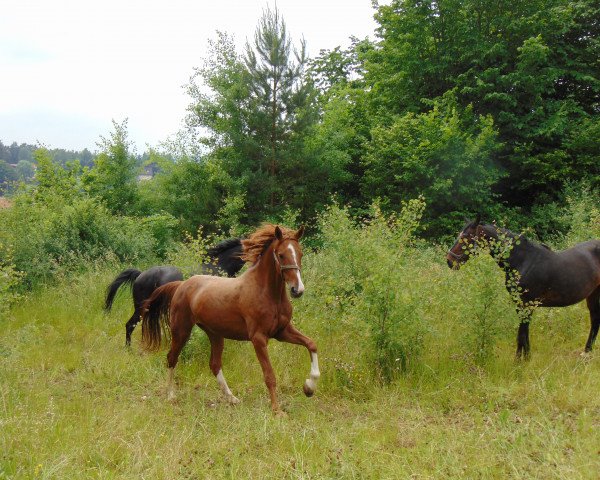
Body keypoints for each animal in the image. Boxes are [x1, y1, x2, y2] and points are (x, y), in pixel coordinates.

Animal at [141, 225, 318, 412]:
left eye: (300, 253)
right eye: (281, 254)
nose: (297, 290)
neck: (268, 293)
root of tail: (181, 285)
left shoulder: (282, 331)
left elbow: (311, 344)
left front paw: (309, 388)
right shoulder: (259, 338)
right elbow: (269, 375)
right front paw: (277, 410)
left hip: (215, 334)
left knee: (214, 364)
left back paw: (232, 399)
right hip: (181, 330)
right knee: (171, 358)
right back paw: (171, 396)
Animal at [448, 216, 600, 358]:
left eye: (466, 237)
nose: (449, 261)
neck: (524, 261)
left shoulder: (527, 304)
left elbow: (521, 333)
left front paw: (520, 361)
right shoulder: (519, 304)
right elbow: (523, 333)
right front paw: (525, 358)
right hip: (592, 294)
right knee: (595, 320)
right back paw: (586, 352)